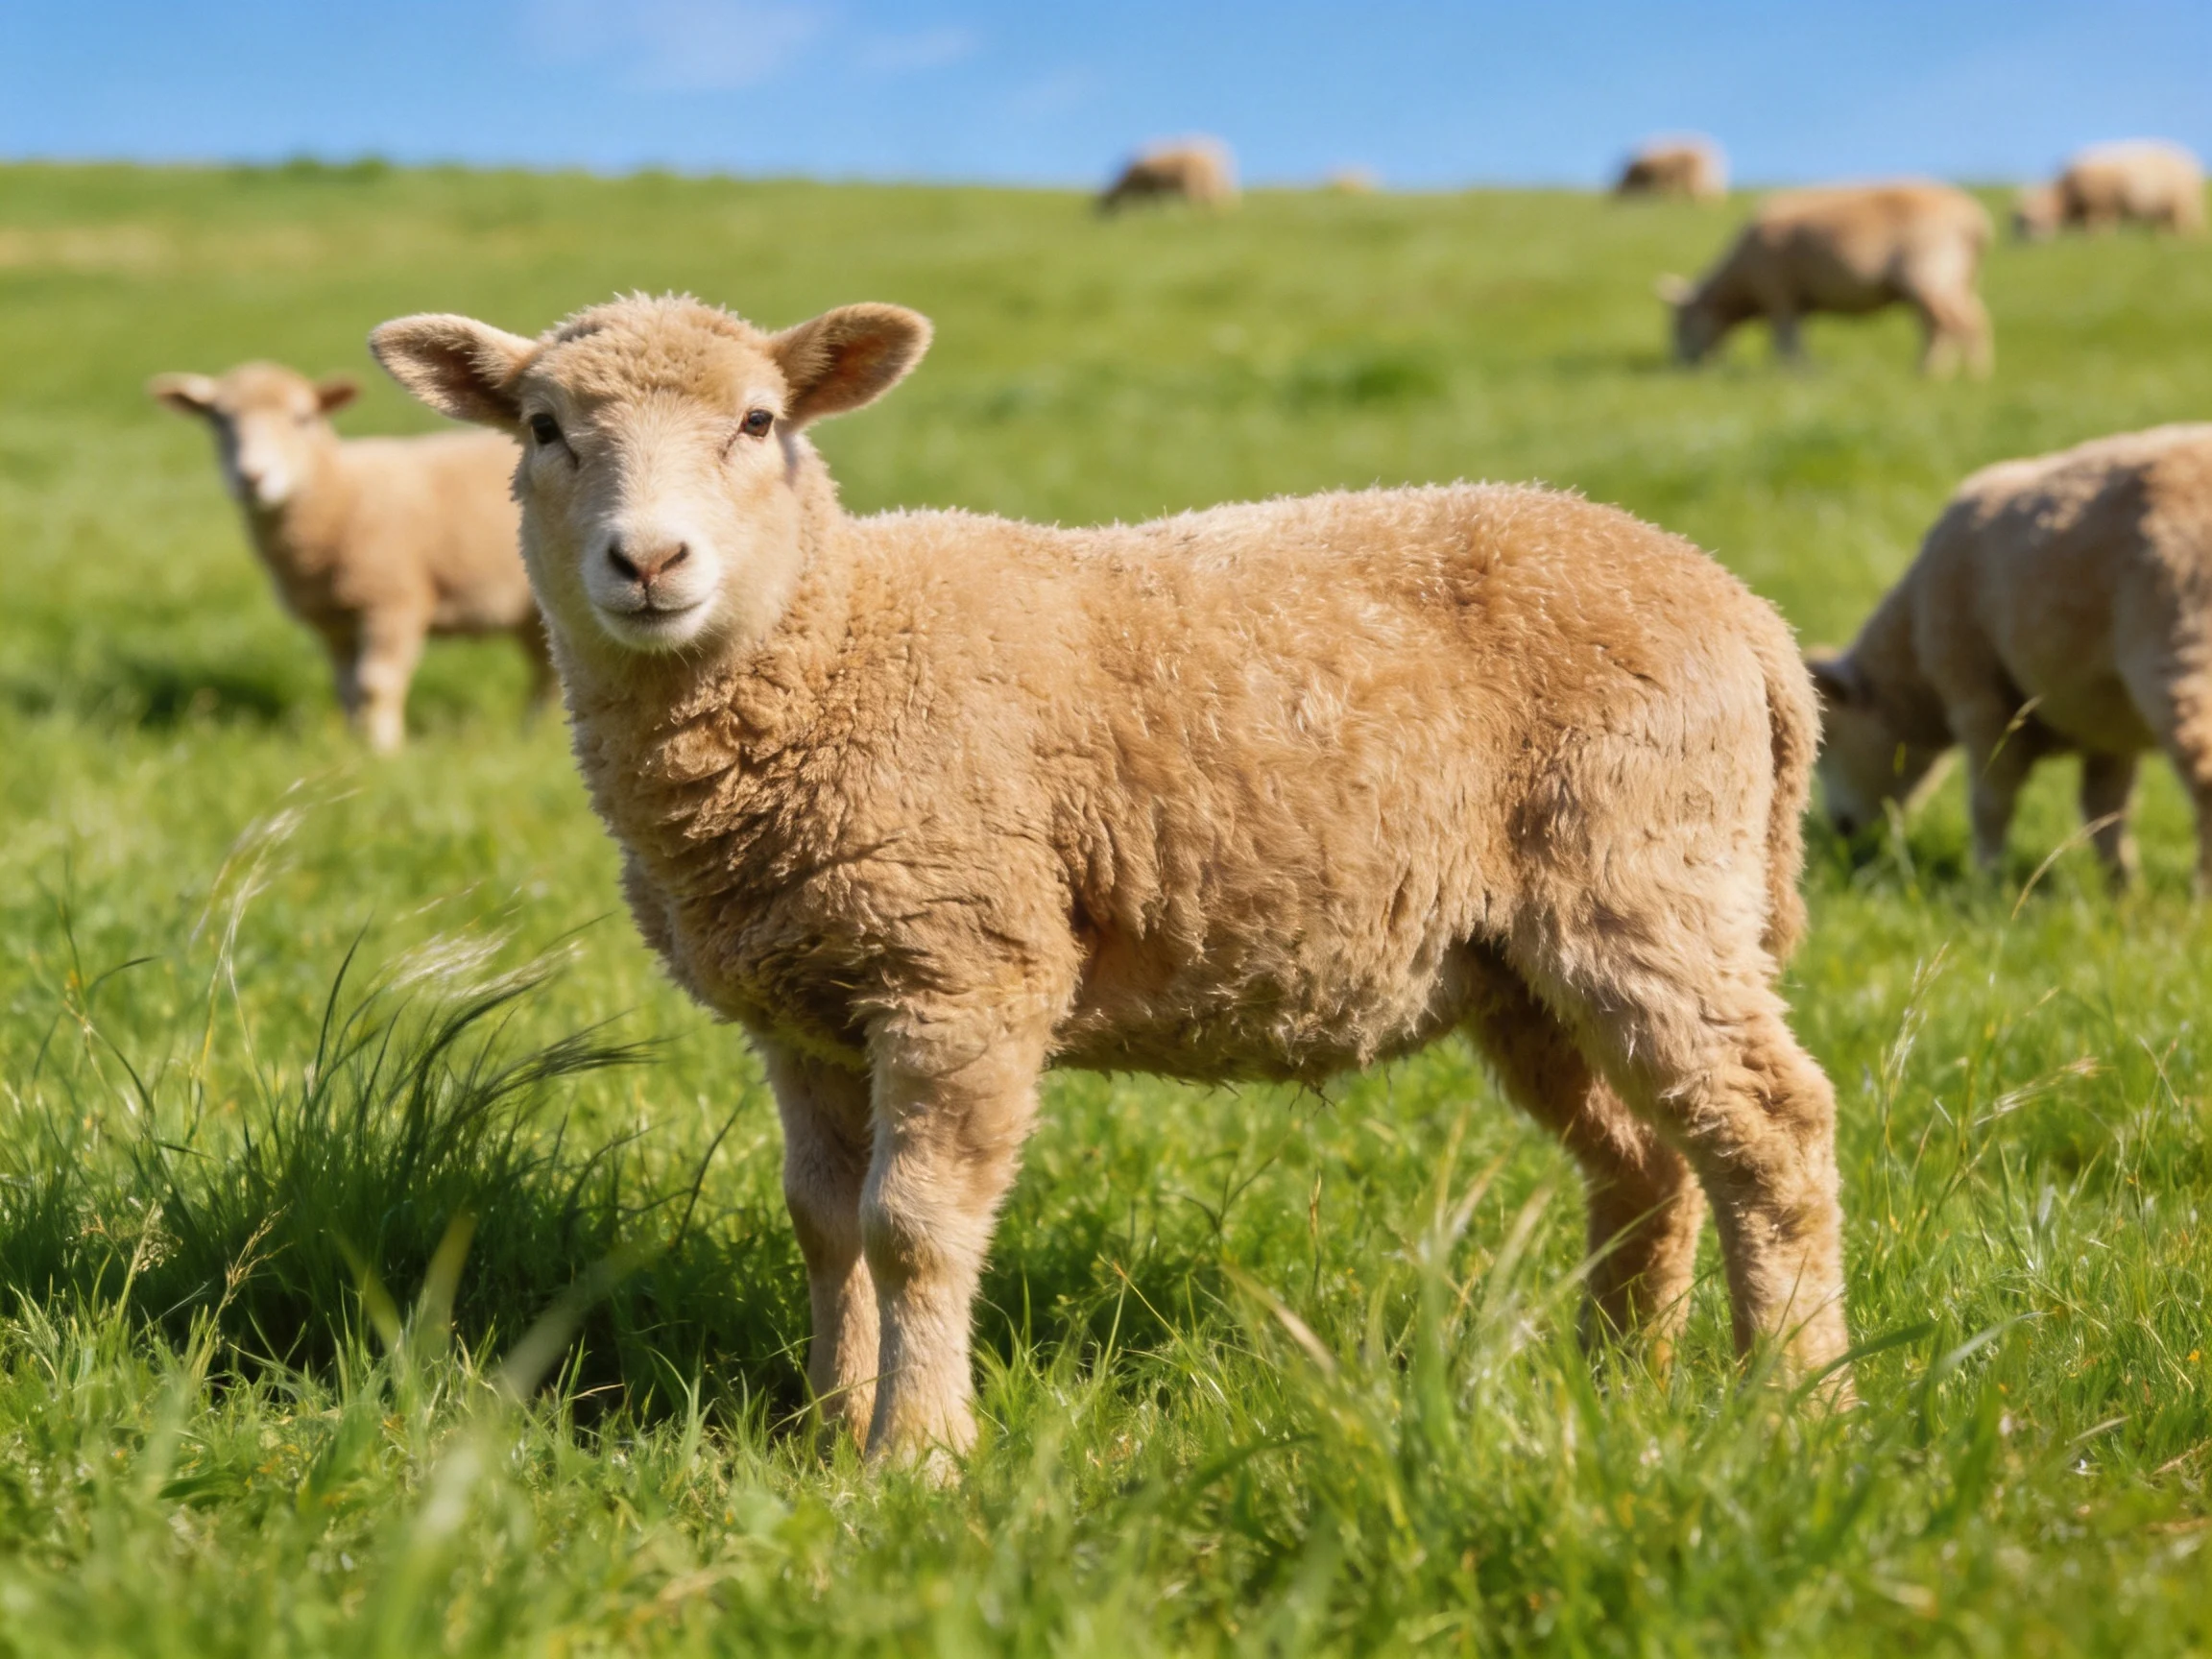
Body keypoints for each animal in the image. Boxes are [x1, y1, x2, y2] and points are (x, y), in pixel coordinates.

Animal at [150, 360, 549, 752]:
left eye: (302, 418)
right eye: (218, 420)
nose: (252, 478)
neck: (340, 492)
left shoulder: (393, 602)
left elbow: (375, 684)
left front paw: (384, 750)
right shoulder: (334, 621)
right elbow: (346, 689)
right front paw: (355, 744)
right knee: (544, 668)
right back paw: (530, 734)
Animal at [369, 293, 1854, 1462]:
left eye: (756, 422)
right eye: (543, 431)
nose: (649, 561)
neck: (839, 642)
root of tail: (1745, 614)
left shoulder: (963, 966)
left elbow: (911, 1225)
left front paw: (917, 1454)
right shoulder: (806, 1006)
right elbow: (823, 1222)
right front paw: (827, 1429)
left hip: (1647, 877)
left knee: (1770, 1130)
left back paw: (1794, 1400)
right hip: (1521, 961)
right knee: (1648, 1159)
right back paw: (1621, 1385)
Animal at [1658, 181, 1993, 377]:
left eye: (1680, 323)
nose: (1681, 365)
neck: (1741, 284)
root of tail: (1975, 221)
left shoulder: (1779, 292)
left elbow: (1785, 340)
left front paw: (1791, 372)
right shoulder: (1797, 301)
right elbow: (1796, 338)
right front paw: (1805, 370)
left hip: (1929, 272)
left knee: (1959, 323)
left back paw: (1963, 376)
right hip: (1957, 278)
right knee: (1958, 320)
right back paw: (1938, 371)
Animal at [1810, 423, 2212, 888]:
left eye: (1830, 740)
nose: (1841, 831)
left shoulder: (1978, 697)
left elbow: (1990, 801)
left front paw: (1987, 881)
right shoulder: (2107, 725)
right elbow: (2105, 812)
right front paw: (2123, 890)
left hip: (2176, 646)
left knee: (2204, 775)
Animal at [2015, 141, 2206, 240]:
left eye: (2027, 220)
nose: (2024, 243)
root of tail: (2191, 161)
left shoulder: (2098, 205)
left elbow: (2097, 225)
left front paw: (2097, 240)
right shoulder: (2104, 207)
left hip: (2181, 201)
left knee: (2183, 223)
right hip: (2170, 206)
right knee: (2170, 224)